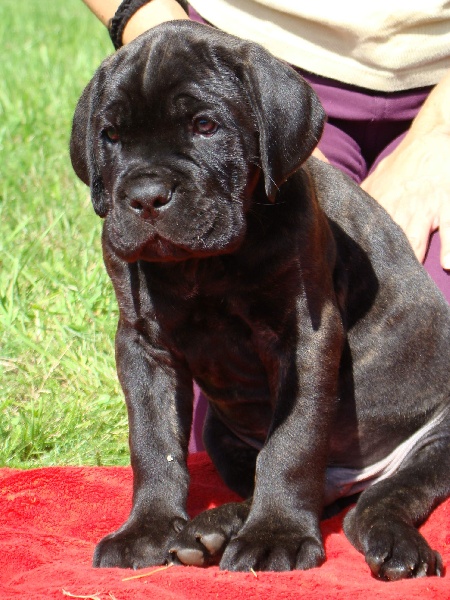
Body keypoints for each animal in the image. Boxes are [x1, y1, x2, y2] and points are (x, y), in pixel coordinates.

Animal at [70, 21, 450, 580]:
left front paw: (277, 537)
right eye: (111, 136)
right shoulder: (143, 345)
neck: (202, 264)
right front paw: (147, 530)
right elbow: (154, 442)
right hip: (220, 432)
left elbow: (290, 444)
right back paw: (213, 529)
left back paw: (393, 545)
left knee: (377, 502)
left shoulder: (303, 338)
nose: (144, 196)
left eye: (205, 125)